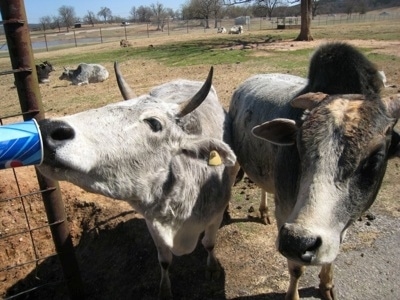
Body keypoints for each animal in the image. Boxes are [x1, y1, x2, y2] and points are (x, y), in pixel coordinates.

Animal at [37, 64, 236, 298]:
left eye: (154, 123)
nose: (48, 130)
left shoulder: (214, 216)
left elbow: (209, 243)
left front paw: (212, 268)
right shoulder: (153, 223)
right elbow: (164, 260)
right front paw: (164, 289)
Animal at [228, 42, 400, 300]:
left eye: (376, 158)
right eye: (299, 146)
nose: (297, 241)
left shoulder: (340, 224)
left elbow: (330, 256)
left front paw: (327, 286)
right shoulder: (285, 216)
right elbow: (296, 268)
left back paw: (263, 211)